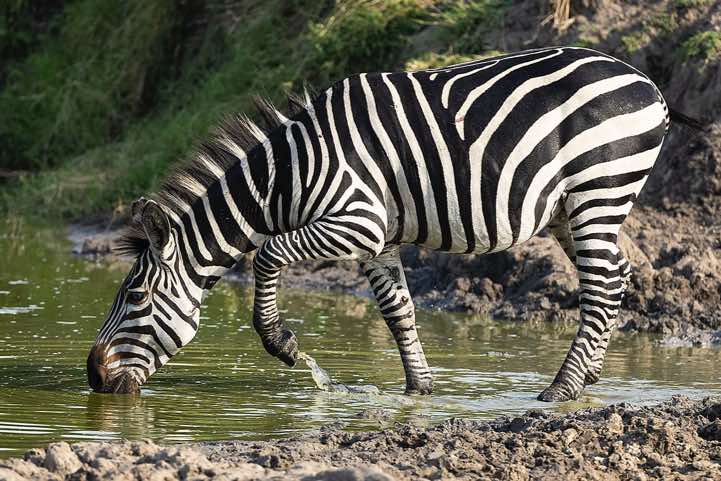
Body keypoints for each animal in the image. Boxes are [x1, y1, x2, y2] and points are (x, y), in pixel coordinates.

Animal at [87, 46, 678, 402]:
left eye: (134, 297)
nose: (93, 377)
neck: (287, 176)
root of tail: (645, 80)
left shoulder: (357, 222)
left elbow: (269, 253)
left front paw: (282, 344)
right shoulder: (380, 240)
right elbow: (398, 311)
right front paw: (419, 390)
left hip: (599, 189)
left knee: (602, 284)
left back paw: (560, 390)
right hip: (571, 209)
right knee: (617, 274)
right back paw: (589, 376)